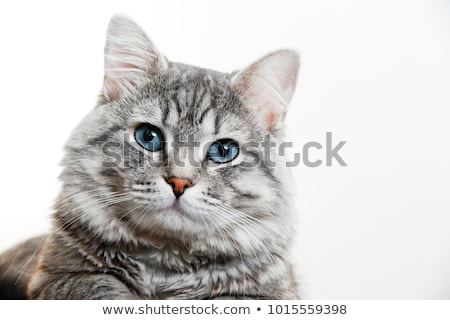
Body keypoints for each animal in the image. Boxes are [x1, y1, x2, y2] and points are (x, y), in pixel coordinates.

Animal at [0, 13, 302, 300]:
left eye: (223, 151)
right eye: (149, 136)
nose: (179, 183)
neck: (165, 265)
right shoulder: (57, 277)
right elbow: (102, 288)